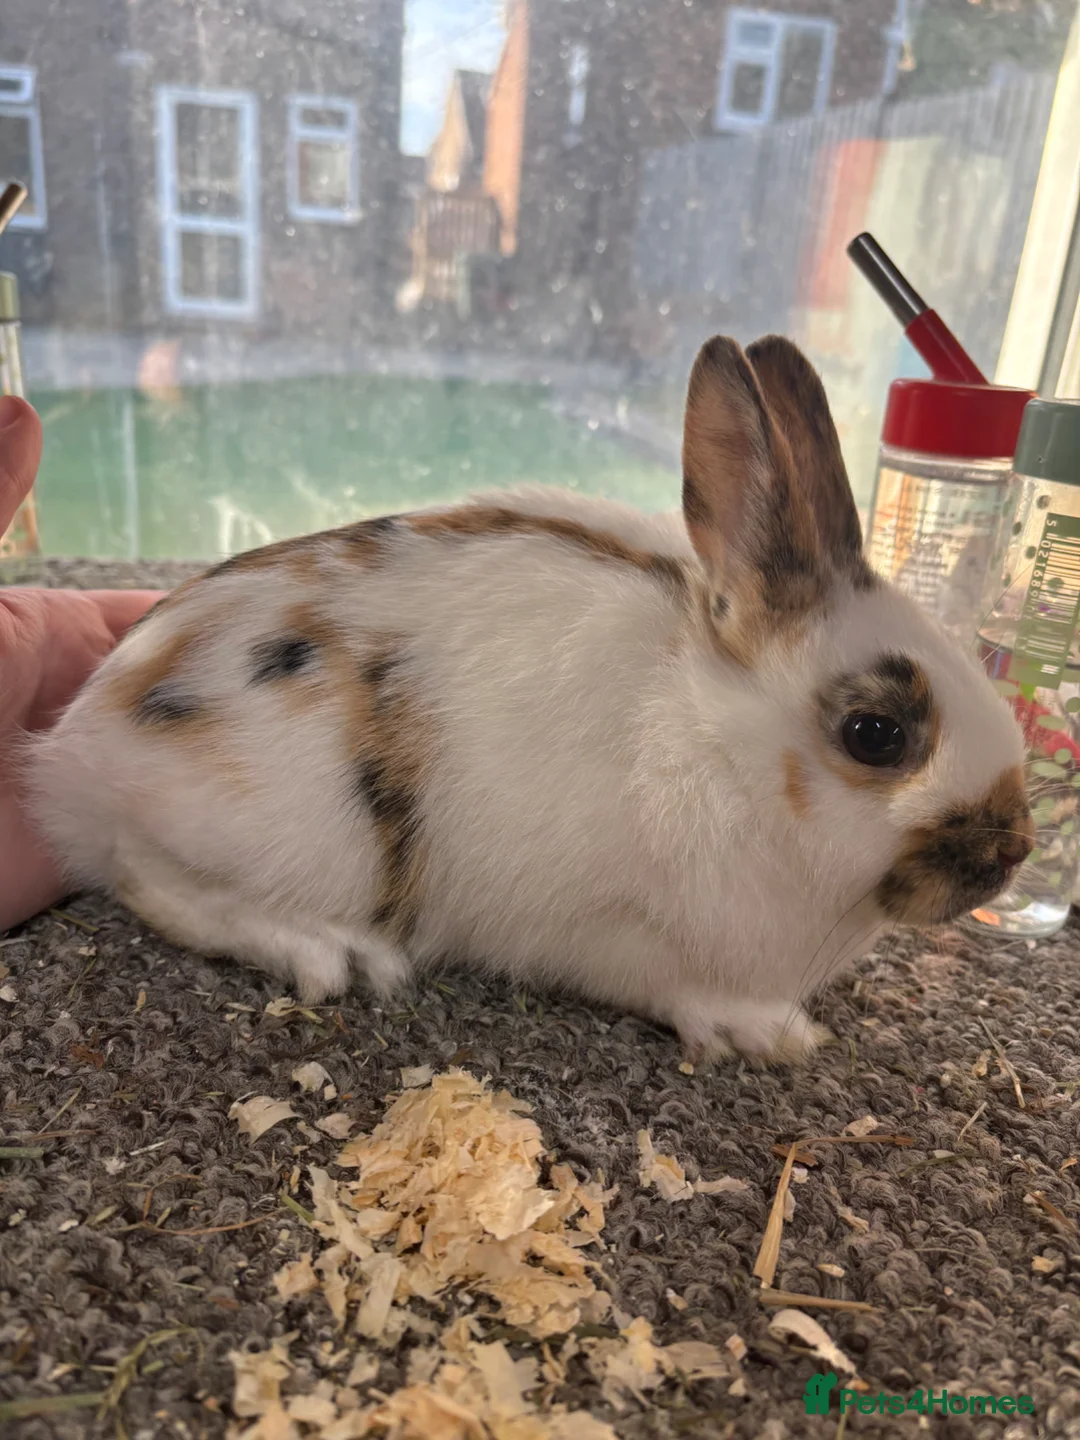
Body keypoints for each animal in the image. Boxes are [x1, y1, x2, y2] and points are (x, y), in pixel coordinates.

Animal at [23, 334, 1035, 1063]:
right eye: (876, 734)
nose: (1012, 853)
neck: (717, 745)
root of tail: (77, 751)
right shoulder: (610, 932)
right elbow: (670, 986)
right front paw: (769, 1033)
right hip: (281, 833)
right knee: (146, 876)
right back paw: (332, 951)